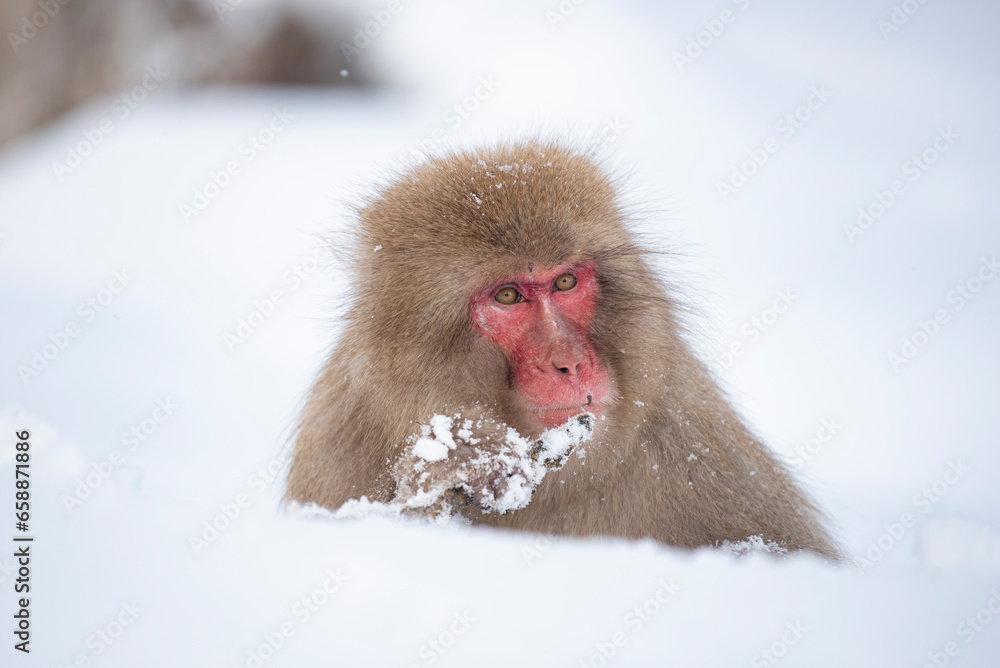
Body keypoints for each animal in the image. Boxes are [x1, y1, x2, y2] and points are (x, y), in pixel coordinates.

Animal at [286, 140, 839, 559]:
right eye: (509, 295)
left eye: (566, 281)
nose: (568, 362)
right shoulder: (337, 442)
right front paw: (456, 464)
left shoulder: (695, 439)